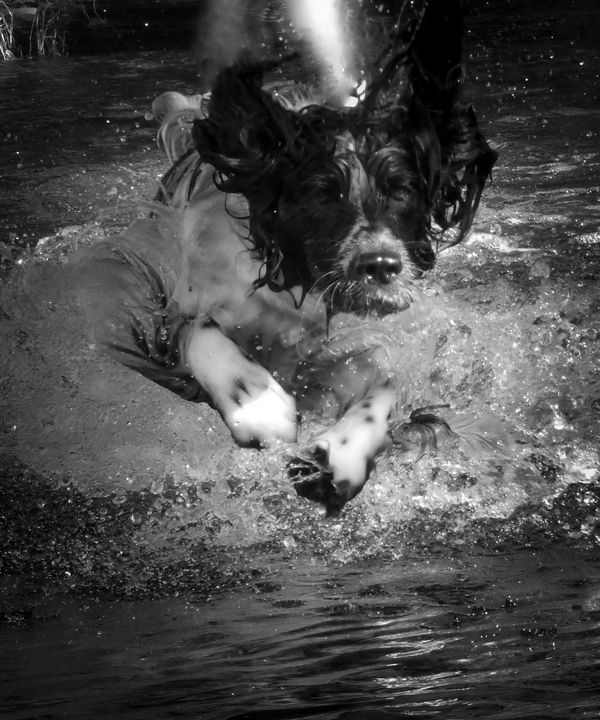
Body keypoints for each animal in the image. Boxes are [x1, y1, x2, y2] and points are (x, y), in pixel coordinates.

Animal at [83, 1, 496, 516]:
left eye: (401, 191)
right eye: (321, 194)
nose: (380, 266)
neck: (292, 290)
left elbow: (385, 378)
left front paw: (337, 458)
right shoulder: (177, 303)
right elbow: (198, 330)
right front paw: (258, 403)